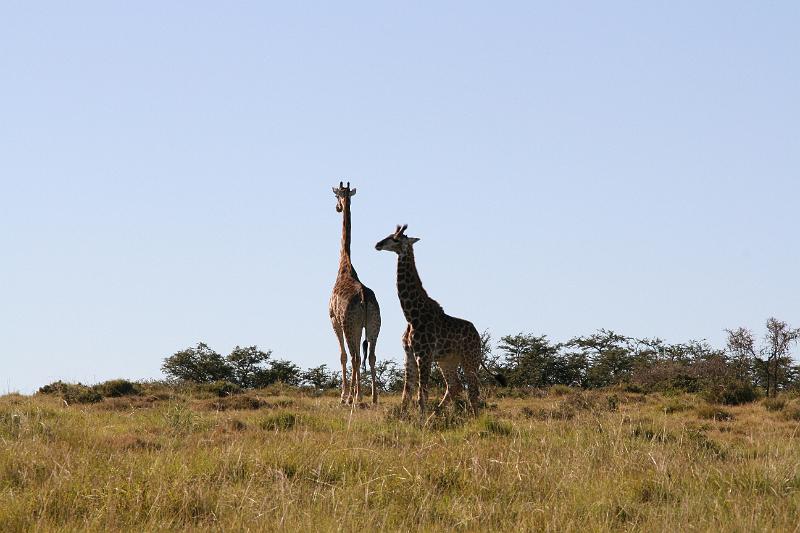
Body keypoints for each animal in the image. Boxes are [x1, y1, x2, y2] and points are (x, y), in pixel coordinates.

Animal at [376, 222, 494, 414]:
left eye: (396, 239)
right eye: (389, 235)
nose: (377, 244)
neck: (411, 315)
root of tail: (477, 334)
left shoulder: (423, 355)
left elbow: (421, 394)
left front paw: (421, 419)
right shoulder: (409, 355)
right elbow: (406, 395)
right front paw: (405, 419)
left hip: (470, 359)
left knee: (473, 391)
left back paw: (475, 418)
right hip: (447, 360)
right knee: (454, 386)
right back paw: (437, 414)